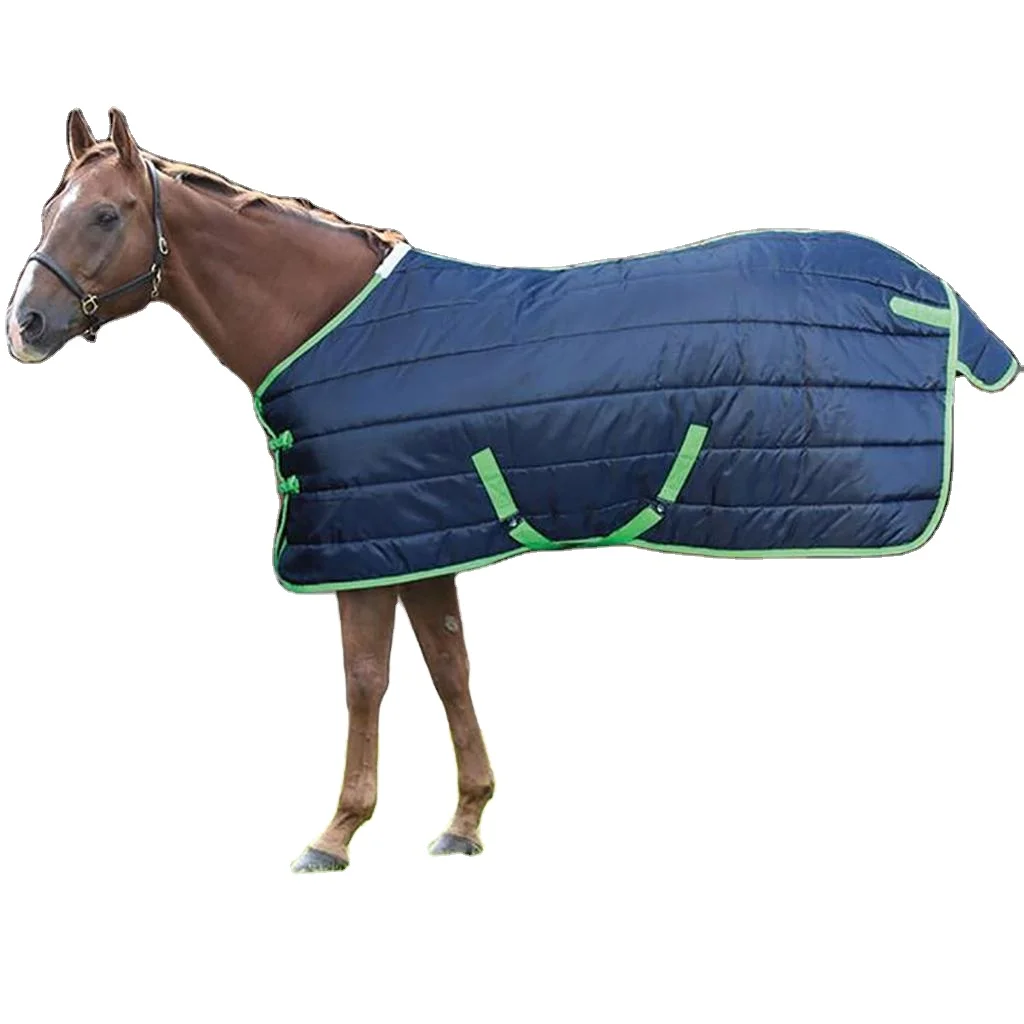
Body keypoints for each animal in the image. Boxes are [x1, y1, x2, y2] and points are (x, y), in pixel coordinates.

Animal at [7, 109, 1018, 872]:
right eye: (51, 204)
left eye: (107, 215)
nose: (27, 324)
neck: (327, 322)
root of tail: (931, 287)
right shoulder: (417, 537)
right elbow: (447, 667)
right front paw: (465, 821)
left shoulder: (364, 541)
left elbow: (365, 681)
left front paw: (336, 834)